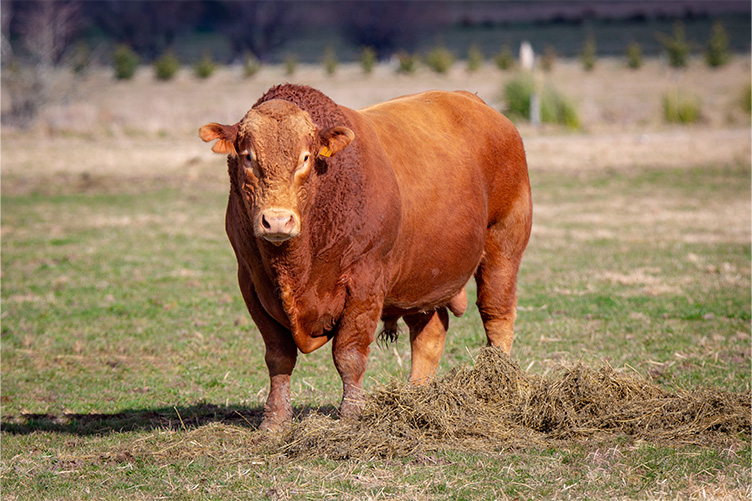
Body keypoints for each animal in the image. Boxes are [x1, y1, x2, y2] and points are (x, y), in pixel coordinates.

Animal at [199, 84, 532, 431]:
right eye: (248, 157)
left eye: (305, 157)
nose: (277, 220)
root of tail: (476, 102)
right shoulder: (251, 281)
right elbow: (279, 355)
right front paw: (275, 420)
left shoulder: (365, 282)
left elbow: (349, 354)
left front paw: (351, 414)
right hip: (422, 275)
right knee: (428, 334)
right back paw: (416, 396)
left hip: (504, 245)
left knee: (497, 316)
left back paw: (498, 384)